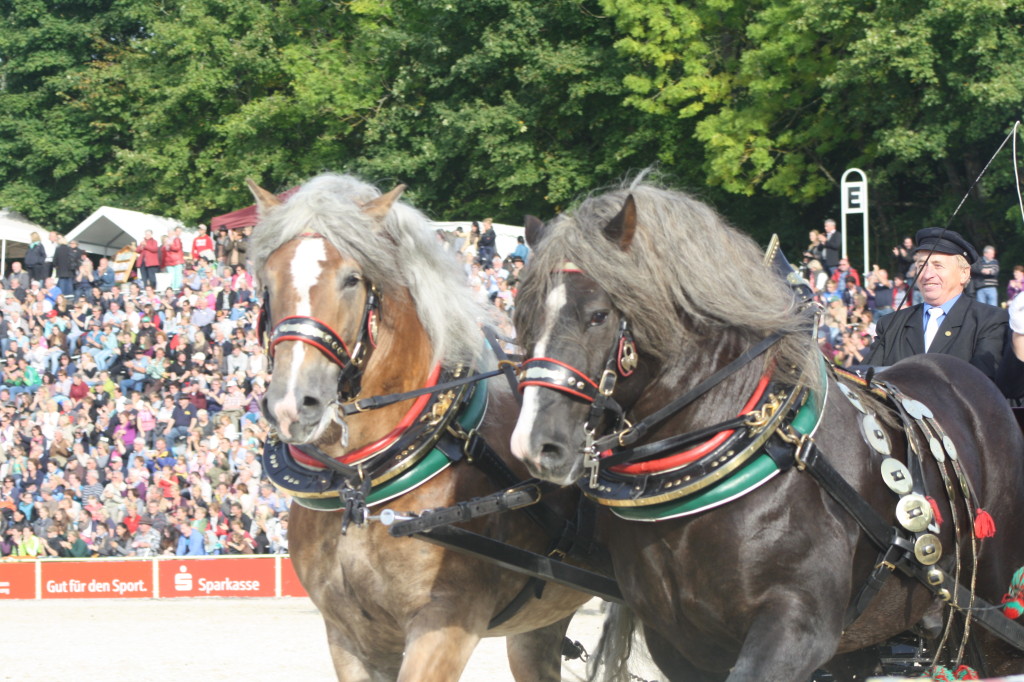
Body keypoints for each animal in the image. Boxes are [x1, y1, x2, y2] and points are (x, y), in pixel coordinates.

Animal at [245, 175, 593, 679]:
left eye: (351, 279)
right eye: (268, 281)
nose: (293, 403)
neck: (367, 481)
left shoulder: (447, 621)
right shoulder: (349, 636)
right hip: (538, 625)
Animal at [512, 178, 1024, 675]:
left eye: (598, 315)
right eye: (522, 317)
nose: (535, 445)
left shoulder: (797, 627)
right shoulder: (679, 642)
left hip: (992, 611)